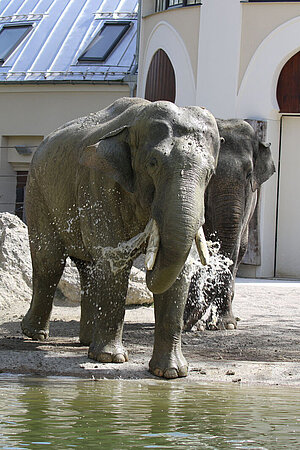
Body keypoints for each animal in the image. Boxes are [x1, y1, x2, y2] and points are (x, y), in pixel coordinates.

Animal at [19, 96, 219, 378]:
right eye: (153, 163)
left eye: (210, 173)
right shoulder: (99, 183)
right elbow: (114, 261)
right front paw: (110, 359)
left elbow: (178, 273)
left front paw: (172, 373)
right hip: (37, 189)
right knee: (50, 260)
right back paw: (35, 334)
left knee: (88, 268)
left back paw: (86, 342)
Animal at [184, 118, 276, 330]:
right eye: (209, 174)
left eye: (249, 174)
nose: (188, 322)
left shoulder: (248, 200)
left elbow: (231, 246)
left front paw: (227, 325)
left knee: (240, 248)